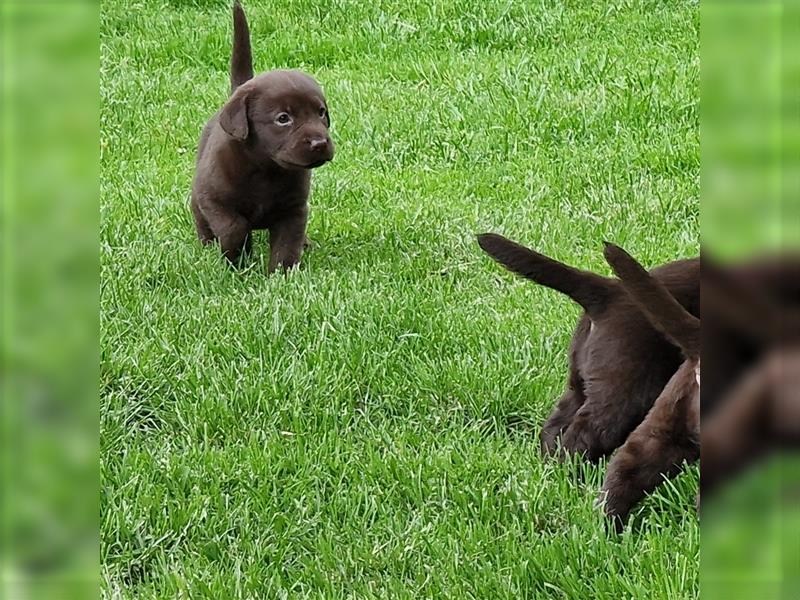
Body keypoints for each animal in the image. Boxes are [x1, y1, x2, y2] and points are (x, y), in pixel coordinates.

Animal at [192, 0, 332, 272]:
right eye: (283, 118)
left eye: (321, 112)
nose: (320, 143)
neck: (266, 169)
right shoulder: (214, 200)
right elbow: (235, 229)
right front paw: (238, 262)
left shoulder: (293, 210)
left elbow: (287, 245)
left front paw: (282, 275)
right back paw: (208, 244)